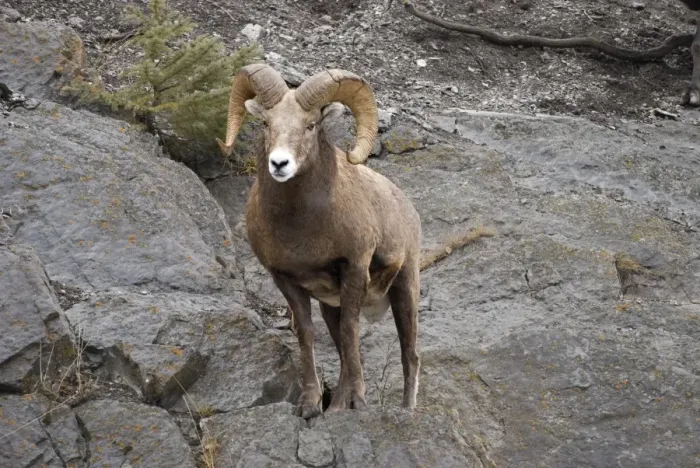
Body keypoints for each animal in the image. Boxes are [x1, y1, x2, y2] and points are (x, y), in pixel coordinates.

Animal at [216, 64, 422, 418]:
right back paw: (338, 406)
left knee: (409, 354)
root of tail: (406, 206)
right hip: (331, 305)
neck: (302, 228)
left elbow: (351, 332)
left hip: (405, 287)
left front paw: (358, 402)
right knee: (342, 348)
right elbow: (308, 334)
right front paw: (311, 405)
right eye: (267, 123)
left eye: (310, 125)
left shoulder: (354, 269)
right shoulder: (286, 280)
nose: (279, 164)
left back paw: (406, 410)